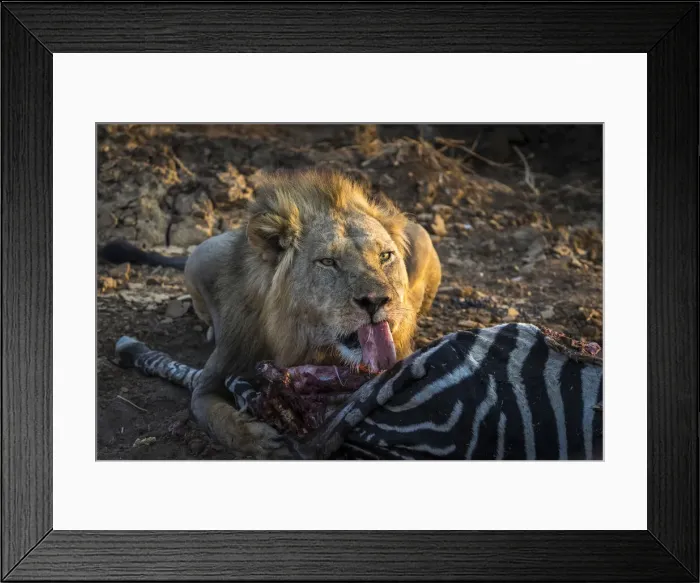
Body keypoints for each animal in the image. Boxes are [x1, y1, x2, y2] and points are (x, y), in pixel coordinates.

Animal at [100, 169, 442, 458]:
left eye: (385, 256)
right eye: (328, 262)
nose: (377, 300)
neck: (303, 342)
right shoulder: (212, 378)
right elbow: (217, 416)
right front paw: (259, 438)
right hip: (199, 256)